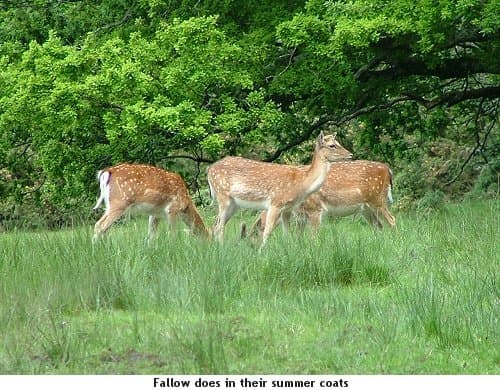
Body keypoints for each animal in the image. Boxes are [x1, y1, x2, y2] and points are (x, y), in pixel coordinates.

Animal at [206, 133, 352, 245]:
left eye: (338, 142)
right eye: (332, 145)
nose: (350, 155)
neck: (301, 184)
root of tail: (209, 170)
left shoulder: (288, 208)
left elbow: (287, 233)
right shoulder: (275, 203)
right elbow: (267, 232)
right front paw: (262, 254)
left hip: (234, 204)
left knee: (216, 224)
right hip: (222, 195)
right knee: (220, 226)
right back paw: (221, 248)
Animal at [245, 160, 394, 236]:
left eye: (254, 234)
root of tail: (388, 169)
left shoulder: (315, 209)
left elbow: (313, 236)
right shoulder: (301, 216)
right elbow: (298, 236)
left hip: (378, 199)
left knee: (392, 220)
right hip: (365, 208)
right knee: (378, 225)